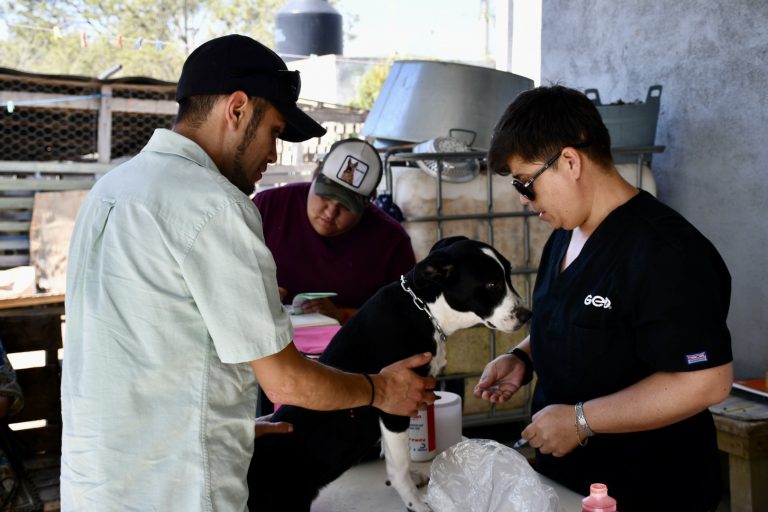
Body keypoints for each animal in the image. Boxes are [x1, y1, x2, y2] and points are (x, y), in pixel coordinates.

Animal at [249, 237, 532, 512]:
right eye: (492, 284)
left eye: (508, 275)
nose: (527, 315)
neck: (424, 309)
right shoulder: (395, 406)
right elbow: (400, 465)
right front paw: (414, 503)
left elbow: (394, 453)